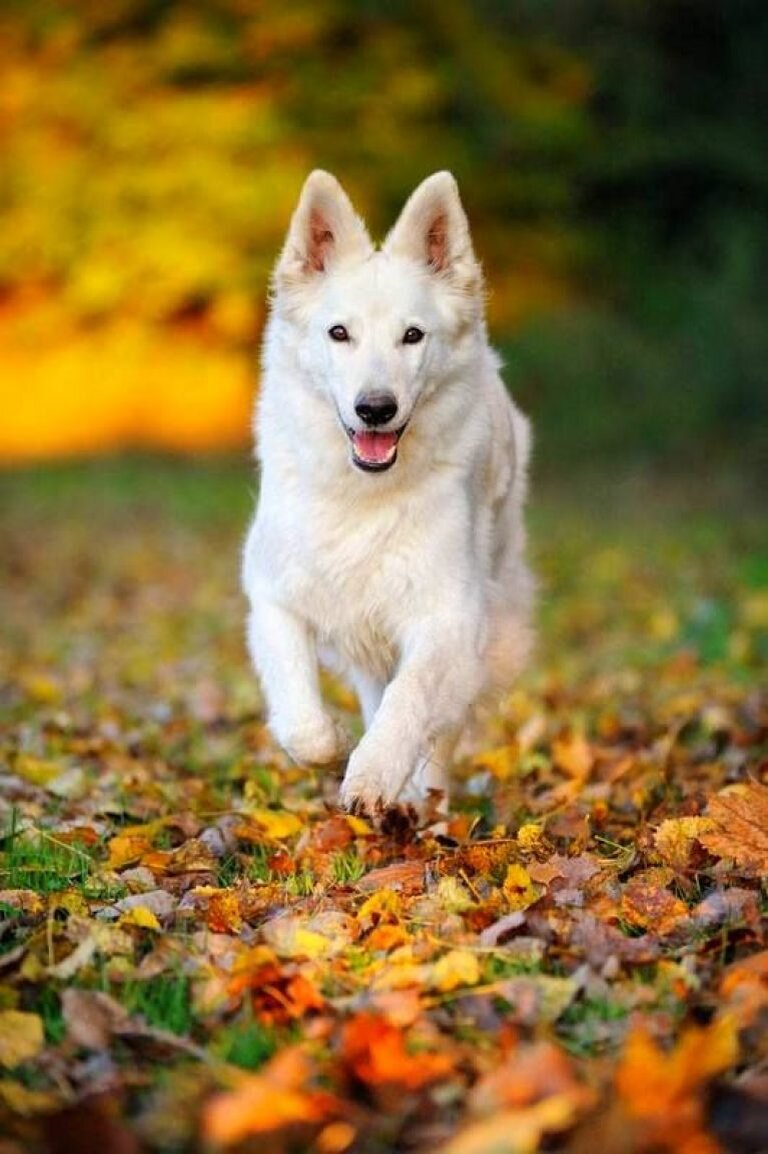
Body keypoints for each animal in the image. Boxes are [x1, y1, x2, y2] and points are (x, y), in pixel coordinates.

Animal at [242, 170, 530, 817]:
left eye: (412, 336)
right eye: (339, 333)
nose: (376, 409)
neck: (362, 495)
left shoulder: (447, 616)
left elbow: (411, 700)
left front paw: (374, 773)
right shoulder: (275, 599)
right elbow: (301, 719)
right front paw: (333, 746)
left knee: (439, 726)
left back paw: (423, 798)